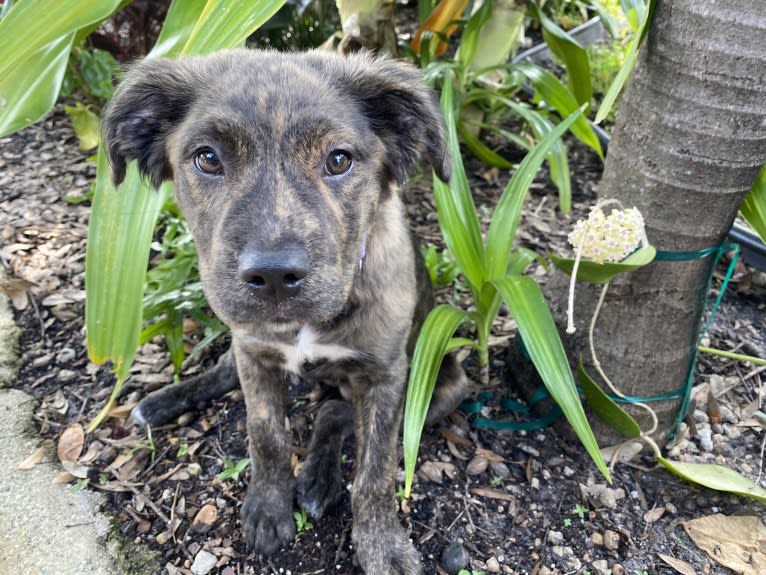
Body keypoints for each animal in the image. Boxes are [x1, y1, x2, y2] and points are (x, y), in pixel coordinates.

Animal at [102, 50, 468, 575]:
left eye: (339, 159)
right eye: (208, 158)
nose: (273, 276)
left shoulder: (386, 377)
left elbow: (376, 469)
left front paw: (383, 546)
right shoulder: (256, 354)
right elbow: (266, 434)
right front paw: (269, 508)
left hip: (444, 385)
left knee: (335, 411)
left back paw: (318, 479)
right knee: (226, 370)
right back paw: (163, 401)